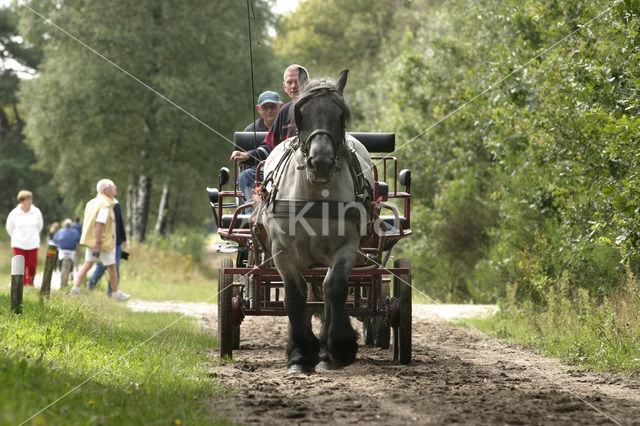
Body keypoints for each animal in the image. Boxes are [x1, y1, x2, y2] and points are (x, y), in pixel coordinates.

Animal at [256, 69, 376, 372]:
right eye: (301, 113)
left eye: (341, 114)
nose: (320, 163)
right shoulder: (282, 250)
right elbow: (294, 296)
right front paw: (299, 353)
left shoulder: (347, 246)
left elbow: (334, 289)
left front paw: (338, 347)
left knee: (323, 293)